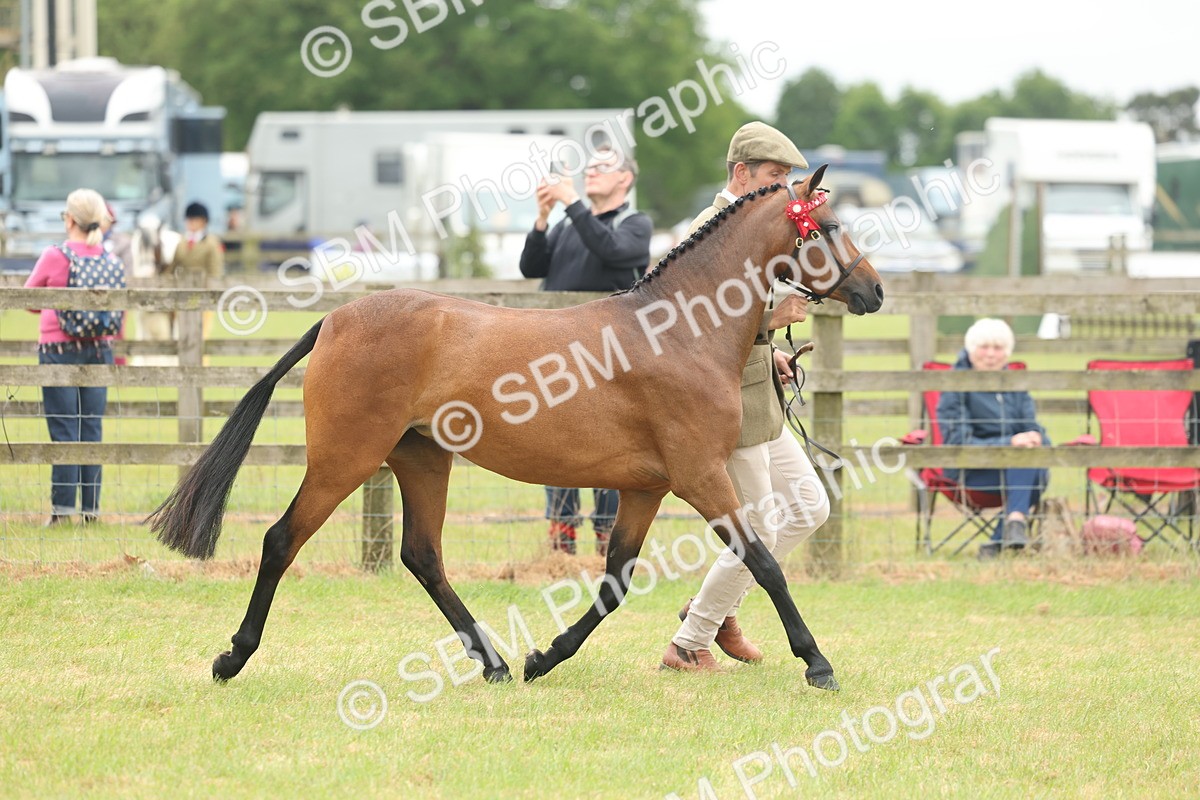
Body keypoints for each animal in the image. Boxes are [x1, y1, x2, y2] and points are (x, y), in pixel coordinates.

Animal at [149, 165, 885, 690]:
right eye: (829, 225)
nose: (875, 291)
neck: (677, 331)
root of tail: (336, 319)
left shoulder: (645, 488)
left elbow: (614, 581)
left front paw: (544, 657)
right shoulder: (701, 476)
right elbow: (764, 562)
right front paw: (818, 663)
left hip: (421, 459)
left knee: (422, 556)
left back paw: (497, 663)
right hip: (345, 459)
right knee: (282, 540)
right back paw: (231, 658)